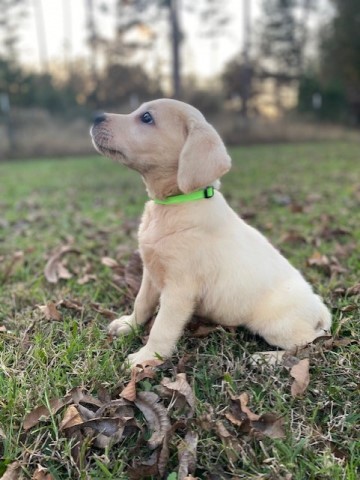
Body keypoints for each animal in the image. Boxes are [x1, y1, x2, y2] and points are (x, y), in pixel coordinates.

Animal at [90, 99, 332, 366]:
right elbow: (141, 303)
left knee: (307, 346)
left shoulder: (180, 289)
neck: (175, 204)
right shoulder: (150, 272)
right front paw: (128, 325)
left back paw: (267, 358)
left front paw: (146, 357)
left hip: (276, 324)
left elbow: (162, 328)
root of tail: (322, 312)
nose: (95, 117)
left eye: (146, 118)